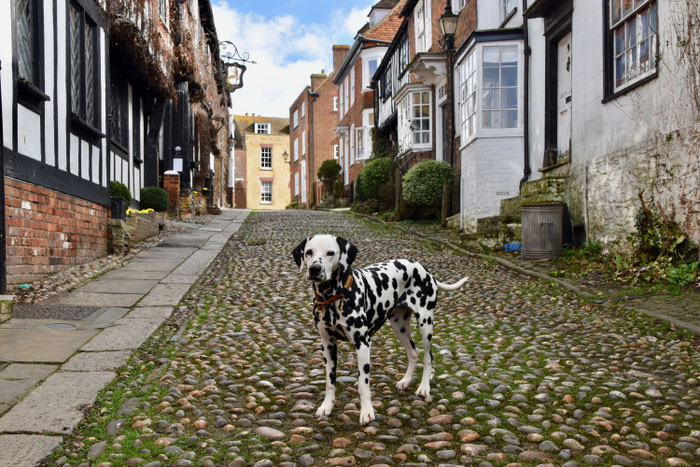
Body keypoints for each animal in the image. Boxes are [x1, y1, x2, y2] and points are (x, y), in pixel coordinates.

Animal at [292, 236, 468, 426]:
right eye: (309, 252)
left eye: (330, 252)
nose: (314, 269)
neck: (334, 296)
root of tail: (425, 270)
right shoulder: (328, 344)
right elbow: (330, 381)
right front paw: (326, 406)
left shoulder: (362, 344)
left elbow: (363, 384)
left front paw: (366, 412)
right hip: (399, 327)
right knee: (413, 353)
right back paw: (405, 381)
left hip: (425, 324)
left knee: (428, 356)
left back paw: (423, 387)